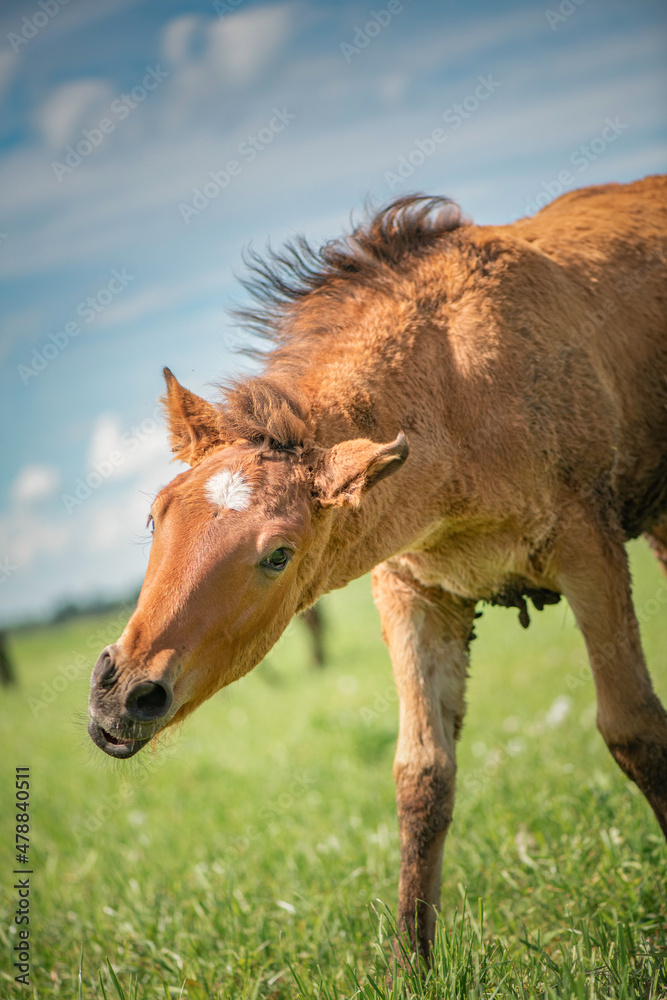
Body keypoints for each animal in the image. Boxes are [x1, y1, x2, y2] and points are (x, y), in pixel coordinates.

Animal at [88, 175, 667, 962]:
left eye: (279, 554)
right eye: (155, 515)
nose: (121, 696)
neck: (461, 393)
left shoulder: (590, 546)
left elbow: (635, 730)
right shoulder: (412, 589)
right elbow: (421, 775)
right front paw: (408, 967)